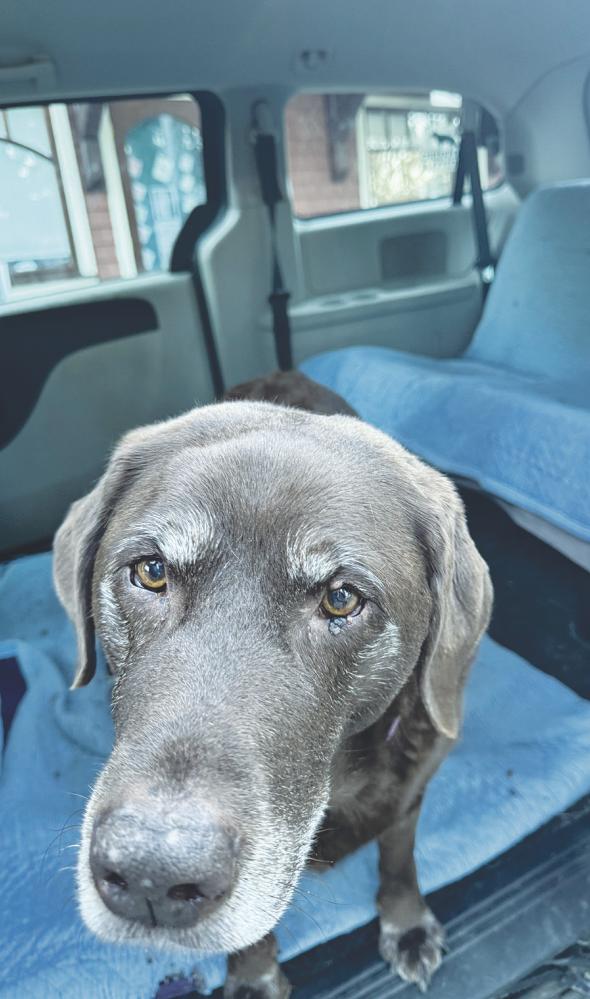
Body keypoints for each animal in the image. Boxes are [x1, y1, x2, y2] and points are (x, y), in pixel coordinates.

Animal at [53, 395, 492, 998]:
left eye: (341, 598)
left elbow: (398, 856)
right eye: (151, 571)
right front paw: (254, 975)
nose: (152, 873)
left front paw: (406, 924)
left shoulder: (411, 791)